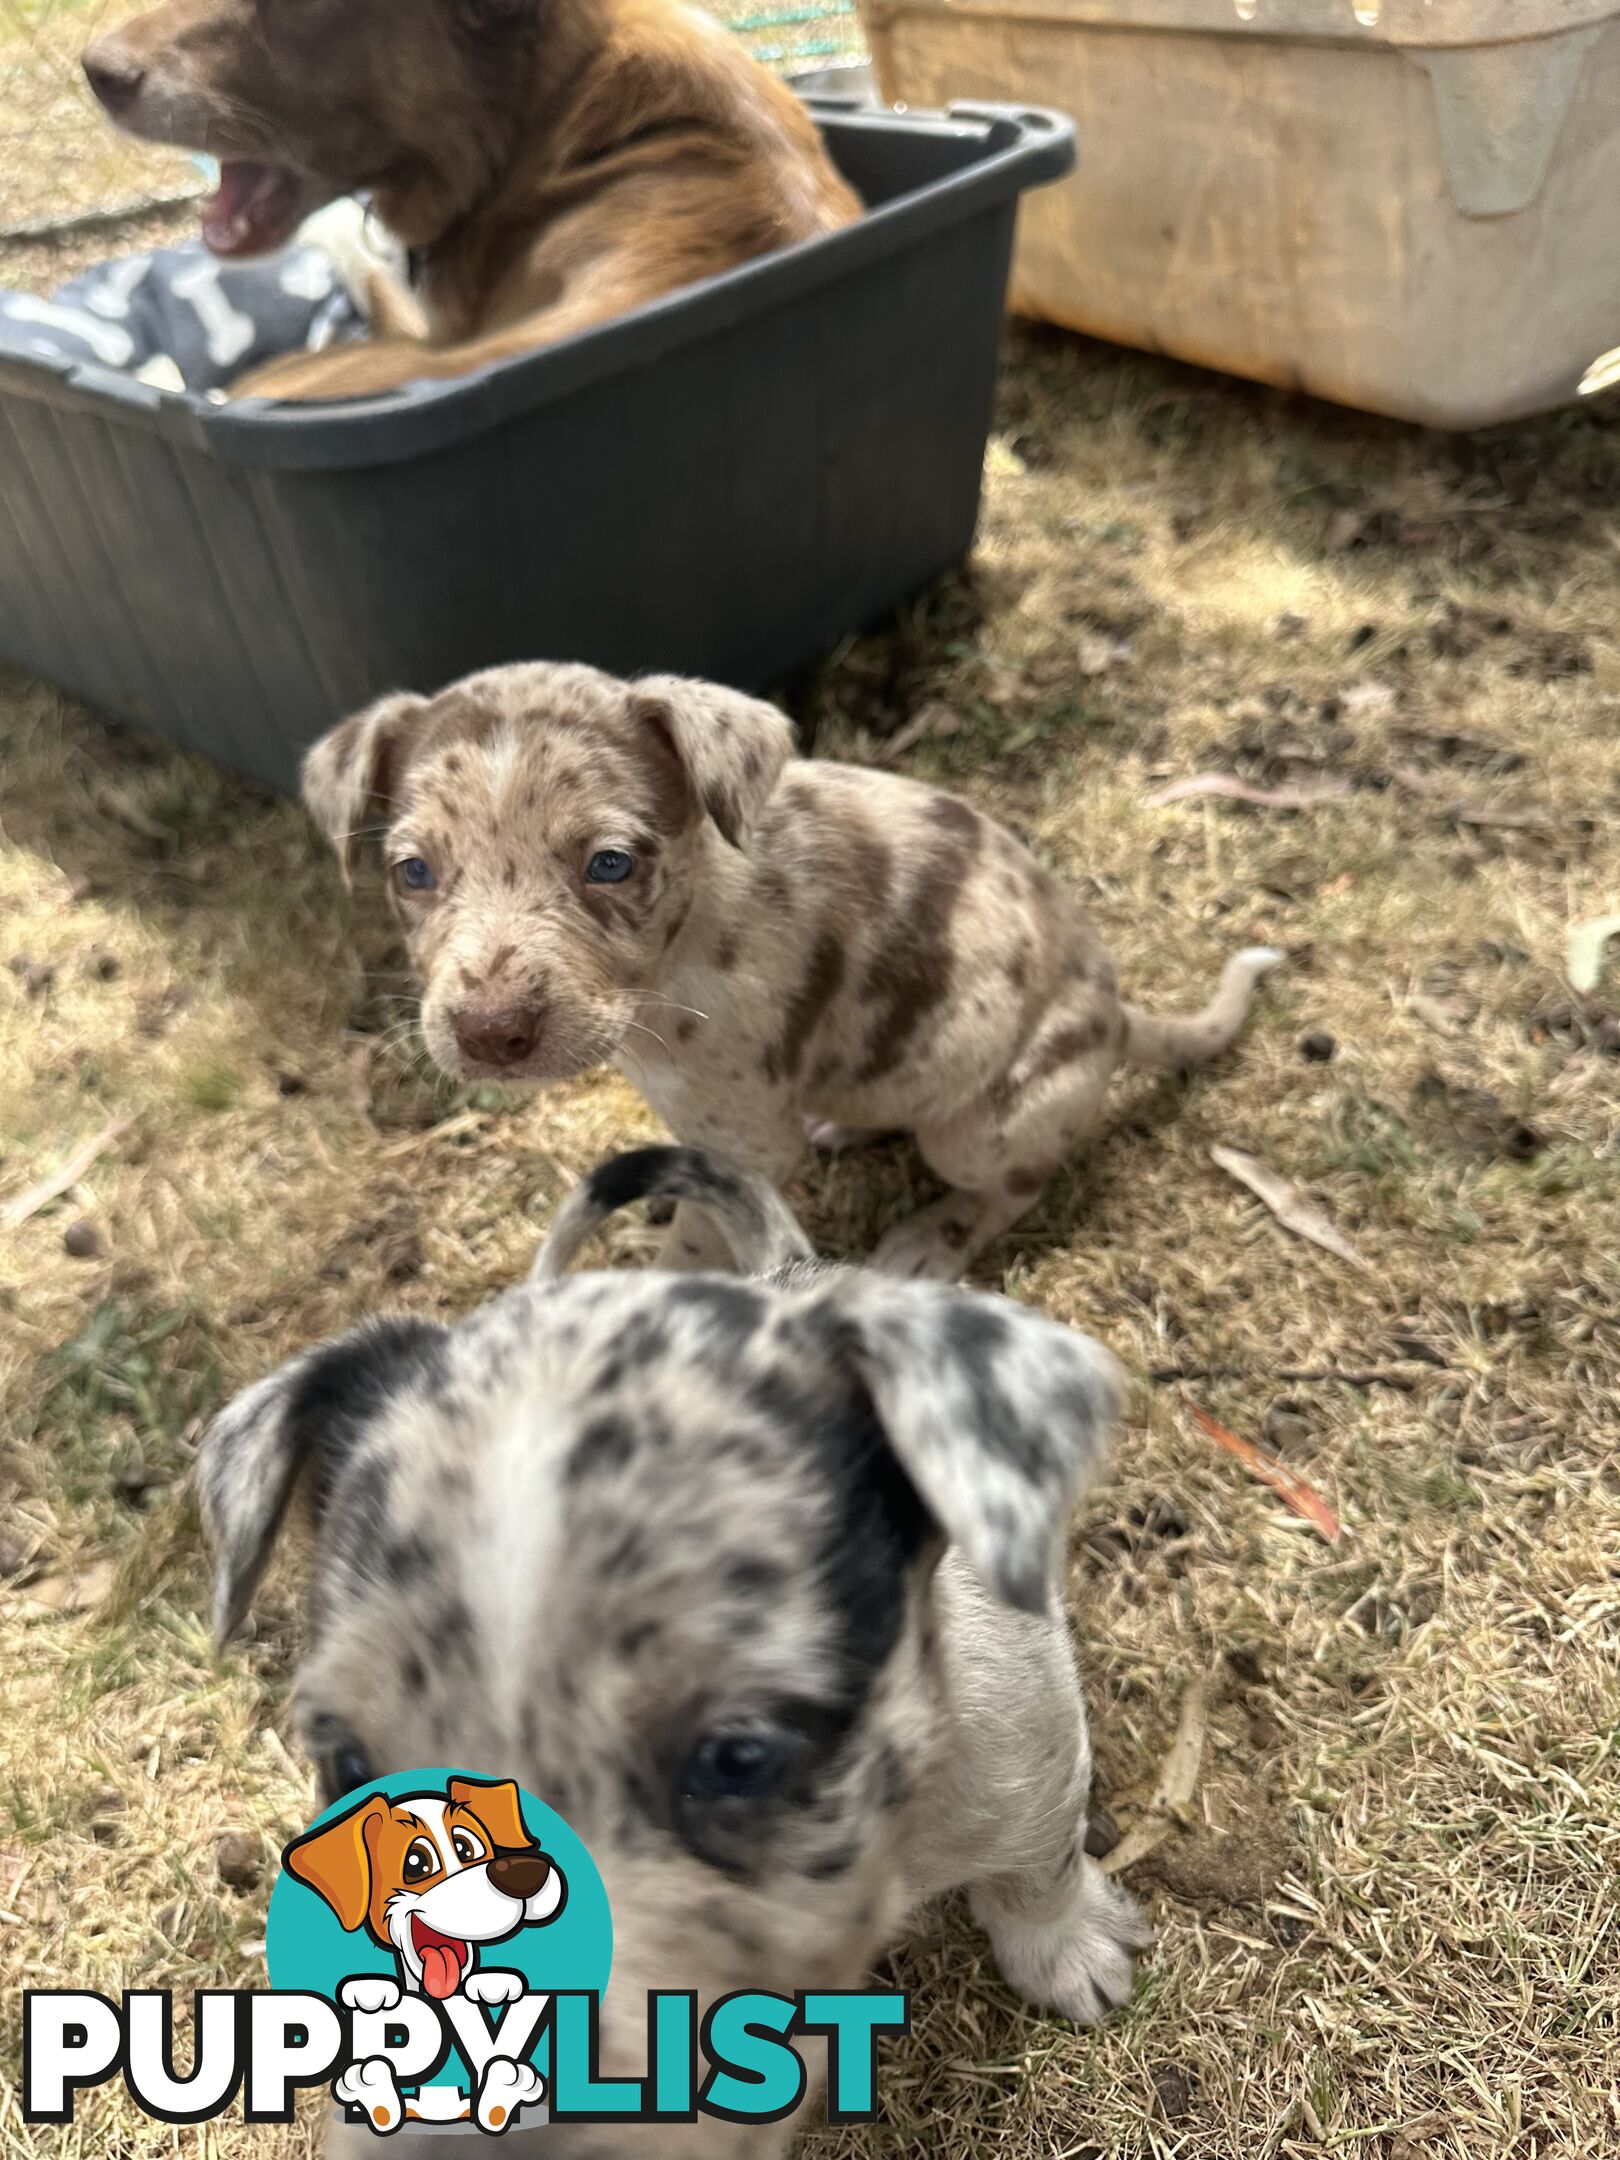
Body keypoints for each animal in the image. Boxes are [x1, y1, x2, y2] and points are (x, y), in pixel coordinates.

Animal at [304, 656, 1278, 1278]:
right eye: (413, 873)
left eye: (610, 864)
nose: (490, 1033)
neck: (678, 947)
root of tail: (1117, 1015)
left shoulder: (746, 1142)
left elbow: (698, 1241)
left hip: (991, 1121)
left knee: (1016, 1184)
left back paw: (933, 1237)